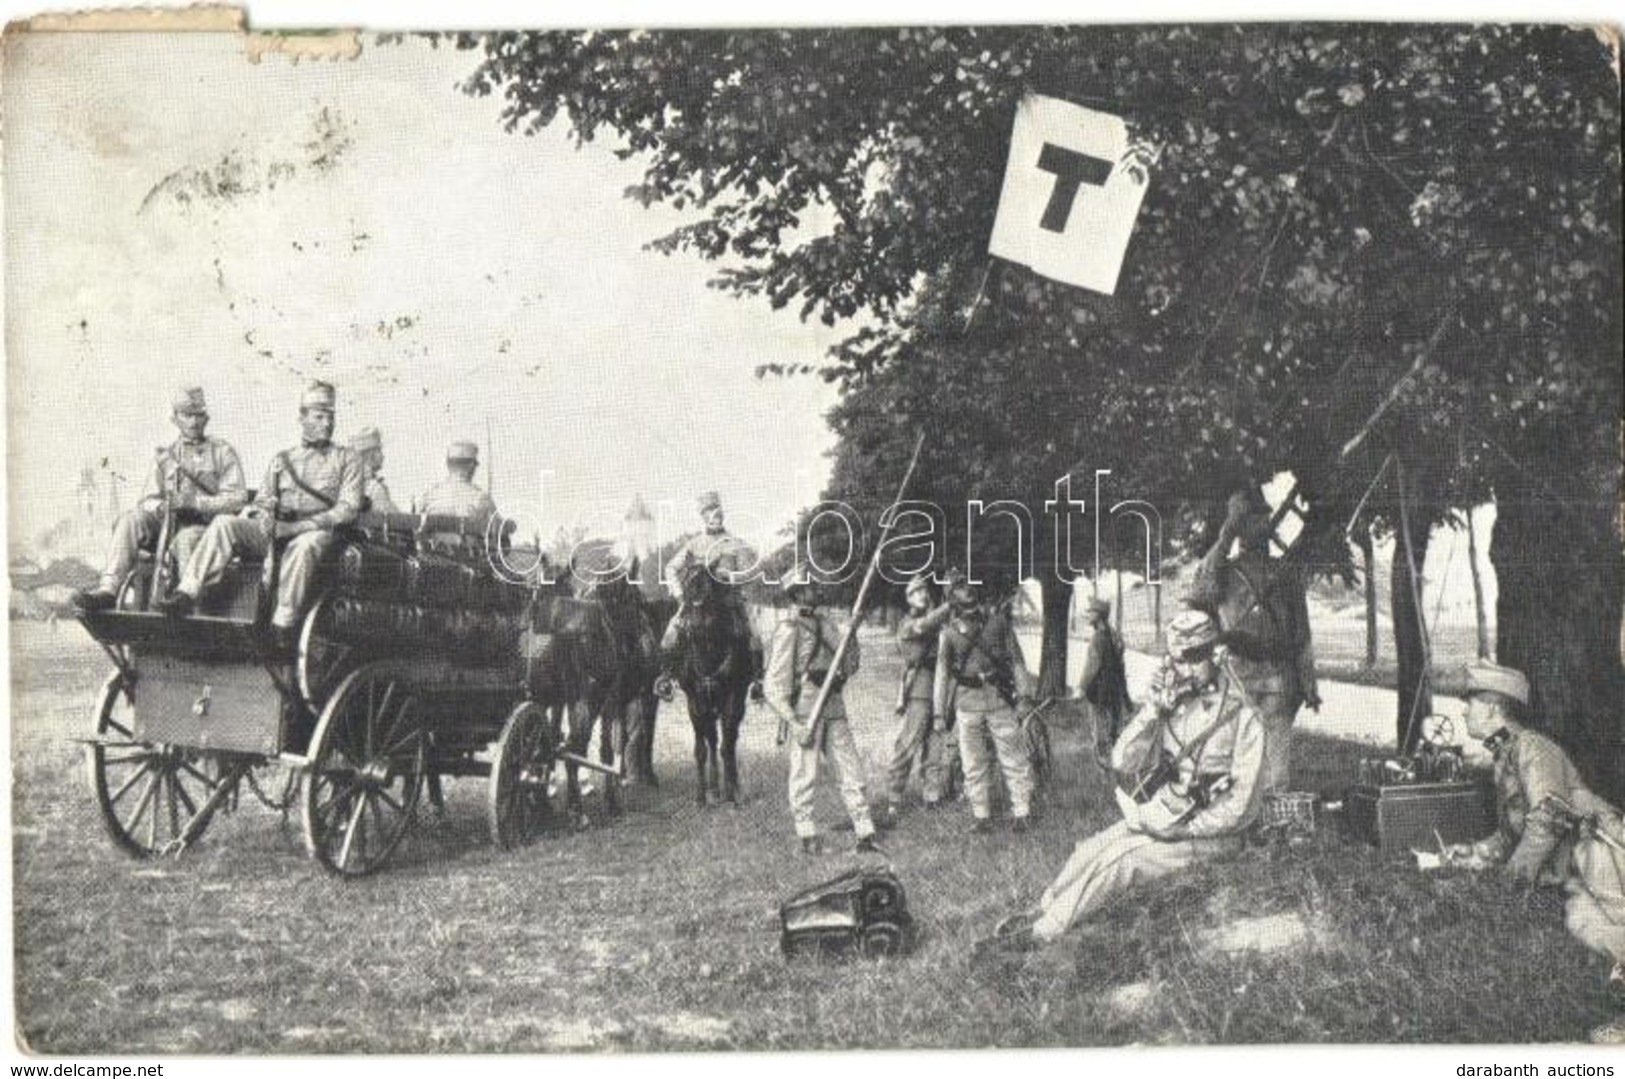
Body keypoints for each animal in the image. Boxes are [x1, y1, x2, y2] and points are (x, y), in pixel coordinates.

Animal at [666, 552, 754, 806]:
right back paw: (714, 788)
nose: (690, 626)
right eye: (684, 582)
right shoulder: (694, 702)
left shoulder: (733, 698)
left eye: (706, 586)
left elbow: (728, 746)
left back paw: (729, 786)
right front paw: (701, 796)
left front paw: (733, 793)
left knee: (728, 741)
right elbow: (702, 749)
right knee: (712, 740)